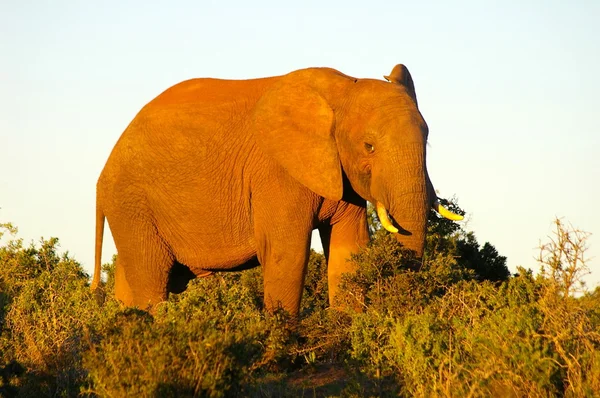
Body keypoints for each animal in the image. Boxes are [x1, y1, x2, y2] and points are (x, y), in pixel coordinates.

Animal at [91, 63, 462, 316]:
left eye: (427, 139)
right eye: (368, 147)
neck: (340, 91)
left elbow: (349, 250)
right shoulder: (276, 173)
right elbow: (287, 253)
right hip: (132, 203)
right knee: (152, 280)